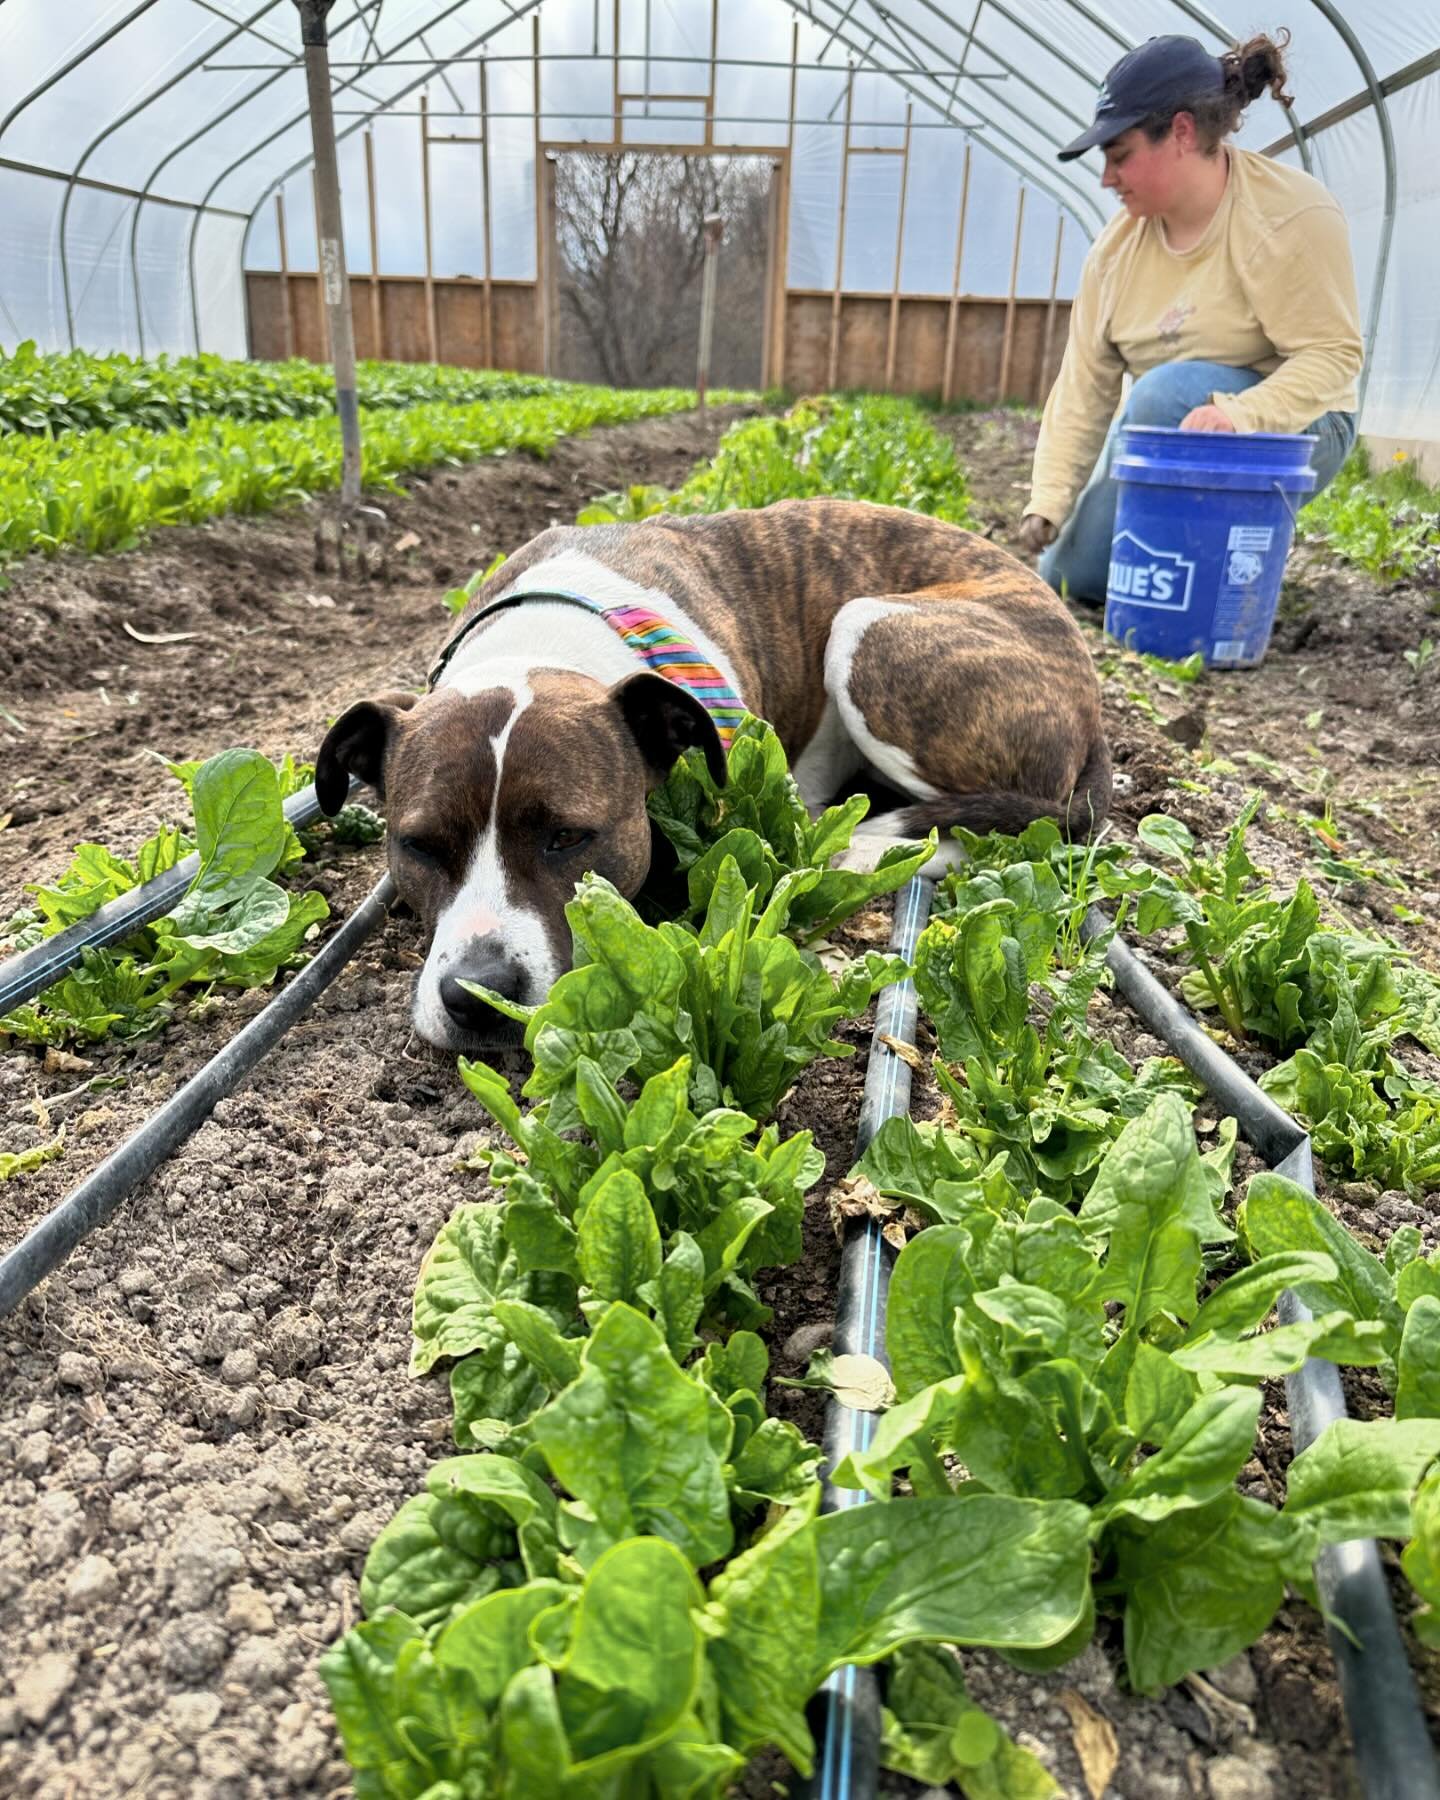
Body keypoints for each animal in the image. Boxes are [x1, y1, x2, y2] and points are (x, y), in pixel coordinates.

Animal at [315, 496, 1108, 1051]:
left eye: (568, 837)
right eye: (417, 846)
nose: (477, 995)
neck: (546, 645)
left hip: (869, 633)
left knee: (1003, 825)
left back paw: (873, 846)